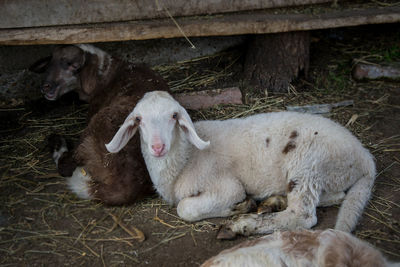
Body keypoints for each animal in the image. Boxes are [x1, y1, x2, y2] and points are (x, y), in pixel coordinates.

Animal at [105, 91, 376, 238]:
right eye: (138, 119)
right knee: (336, 196)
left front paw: (238, 207)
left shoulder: (226, 186)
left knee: (303, 216)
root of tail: (365, 159)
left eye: (174, 116)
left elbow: (186, 209)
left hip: (308, 162)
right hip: (324, 174)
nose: (158, 147)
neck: (185, 159)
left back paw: (244, 224)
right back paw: (274, 201)